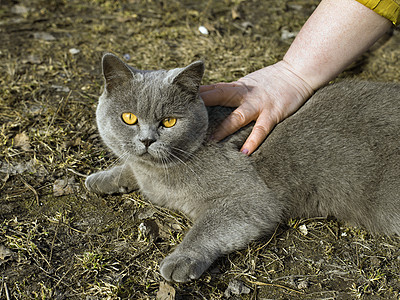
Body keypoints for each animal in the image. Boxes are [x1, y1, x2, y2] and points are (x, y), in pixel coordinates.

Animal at [85, 52, 400, 282]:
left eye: (169, 122)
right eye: (128, 117)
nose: (147, 140)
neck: (158, 174)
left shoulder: (253, 200)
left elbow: (207, 227)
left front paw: (179, 260)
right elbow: (128, 166)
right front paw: (100, 179)